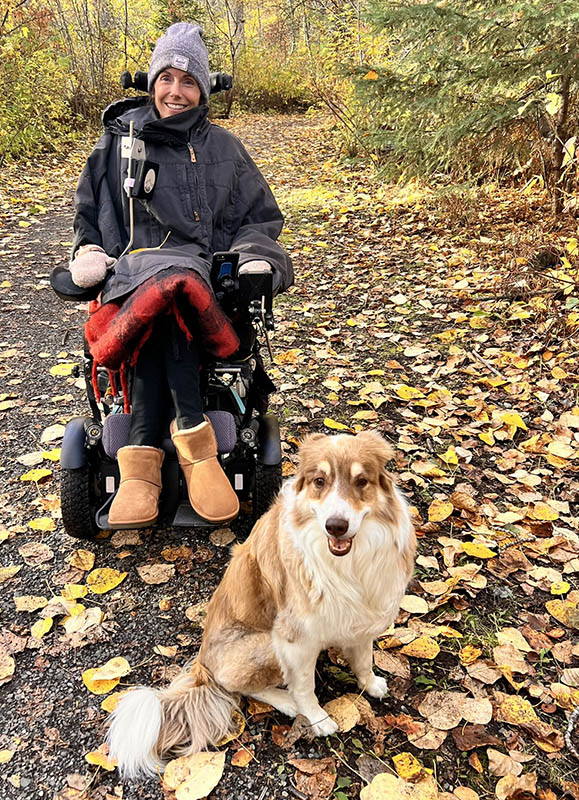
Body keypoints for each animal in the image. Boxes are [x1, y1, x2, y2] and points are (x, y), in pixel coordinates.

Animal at [107, 428, 416, 780]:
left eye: (362, 481)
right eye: (319, 481)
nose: (336, 526)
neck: (347, 561)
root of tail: (202, 667)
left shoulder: (361, 615)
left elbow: (363, 659)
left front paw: (371, 684)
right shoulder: (294, 638)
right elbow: (305, 686)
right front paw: (318, 719)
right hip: (265, 644)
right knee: (242, 687)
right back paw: (285, 701)